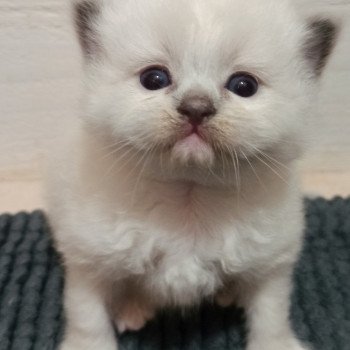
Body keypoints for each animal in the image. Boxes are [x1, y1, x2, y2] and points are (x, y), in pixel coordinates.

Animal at [47, 0, 338, 350]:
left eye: (244, 86)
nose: (196, 107)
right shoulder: (89, 262)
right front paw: (89, 343)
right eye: (154, 78)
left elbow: (271, 313)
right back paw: (132, 308)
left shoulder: (271, 264)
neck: (189, 193)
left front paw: (275, 344)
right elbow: (87, 315)